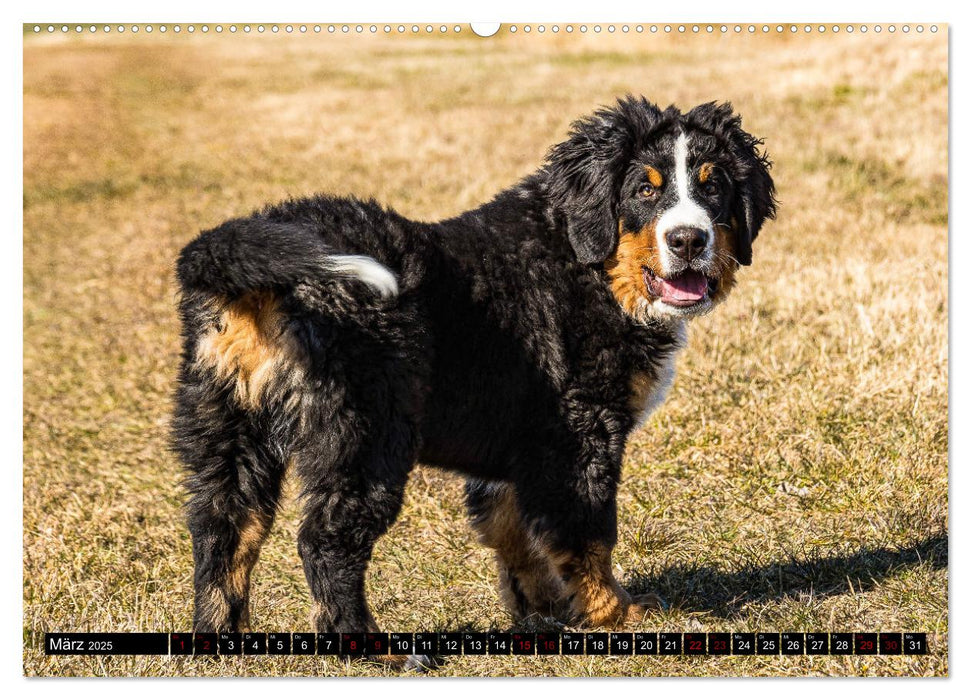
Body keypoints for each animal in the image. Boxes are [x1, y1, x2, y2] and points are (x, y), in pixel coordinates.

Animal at [175, 95, 780, 652]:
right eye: (645, 191)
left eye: (712, 189)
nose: (688, 240)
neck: (583, 265)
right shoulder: (581, 433)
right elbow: (588, 532)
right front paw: (616, 612)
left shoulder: (522, 446)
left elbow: (517, 534)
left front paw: (546, 610)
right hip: (365, 433)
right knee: (326, 542)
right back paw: (375, 649)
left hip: (228, 425)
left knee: (223, 530)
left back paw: (220, 638)